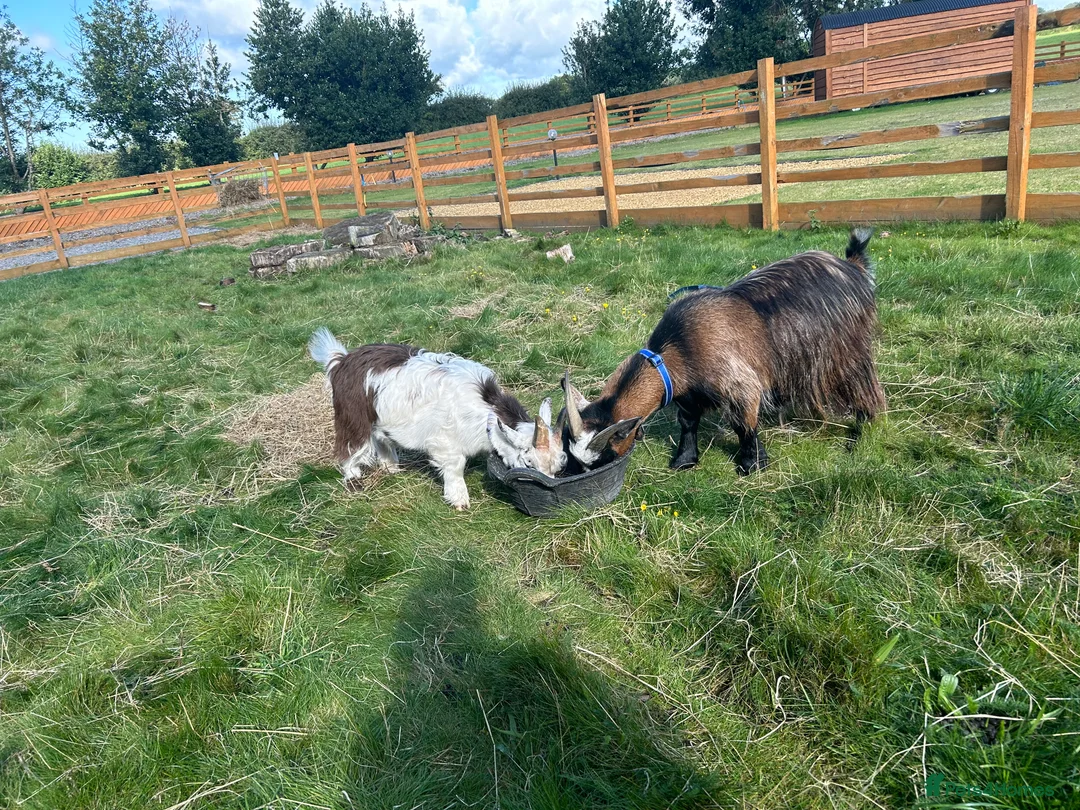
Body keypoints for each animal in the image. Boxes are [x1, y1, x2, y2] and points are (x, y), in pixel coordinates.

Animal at [309, 328, 565, 508]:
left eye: (558, 465)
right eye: (529, 462)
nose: (546, 487)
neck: (484, 407)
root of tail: (341, 361)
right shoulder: (445, 441)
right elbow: (455, 466)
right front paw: (459, 499)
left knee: (382, 439)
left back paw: (392, 467)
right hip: (353, 417)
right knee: (350, 447)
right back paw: (353, 479)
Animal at [561, 229, 885, 475]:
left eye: (605, 457)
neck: (675, 351)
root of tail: (852, 265)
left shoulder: (740, 383)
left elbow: (744, 426)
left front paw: (752, 463)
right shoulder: (688, 395)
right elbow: (688, 424)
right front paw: (684, 460)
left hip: (846, 350)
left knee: (864, 386)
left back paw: (861, 429)